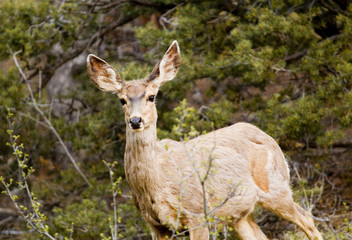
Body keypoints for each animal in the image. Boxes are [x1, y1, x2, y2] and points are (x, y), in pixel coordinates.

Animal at [86, 41, 324, 240]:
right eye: (122, 100)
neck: (155, 184)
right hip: (240, 214)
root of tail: (268, 138)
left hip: (275, 186)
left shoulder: (197, 213)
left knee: (307, 219)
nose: (136, 120)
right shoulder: (156, 224)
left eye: (151, 96)